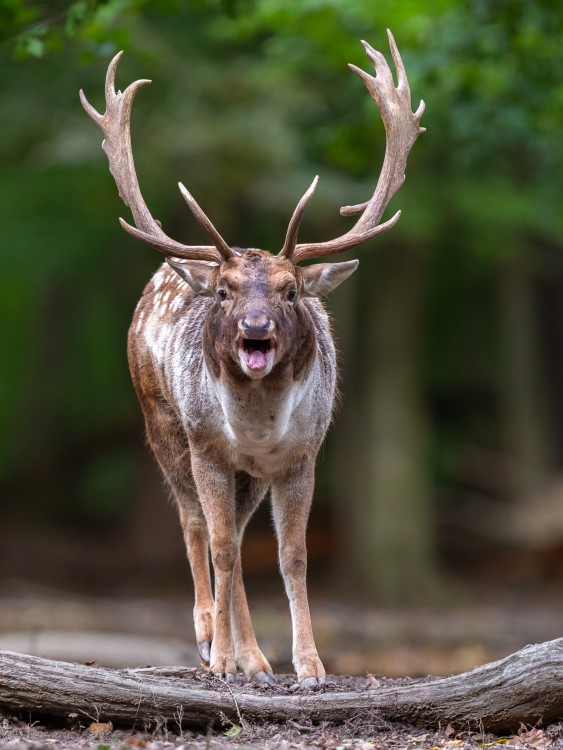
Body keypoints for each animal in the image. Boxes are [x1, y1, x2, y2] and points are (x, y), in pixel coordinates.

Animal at [79, 30, 424, 688]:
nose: (256, 326)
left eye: (290, 291)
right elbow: (217, 545)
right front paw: (218, 659)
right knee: (197, 528)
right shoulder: (209, 448)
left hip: (249, 477)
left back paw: (255, 660)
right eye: (224, 291)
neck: (259, 427)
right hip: (163, 428)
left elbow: (291, 555)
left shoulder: (301, 455)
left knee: (238, 541)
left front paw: (308, 666)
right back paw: (210, 640)